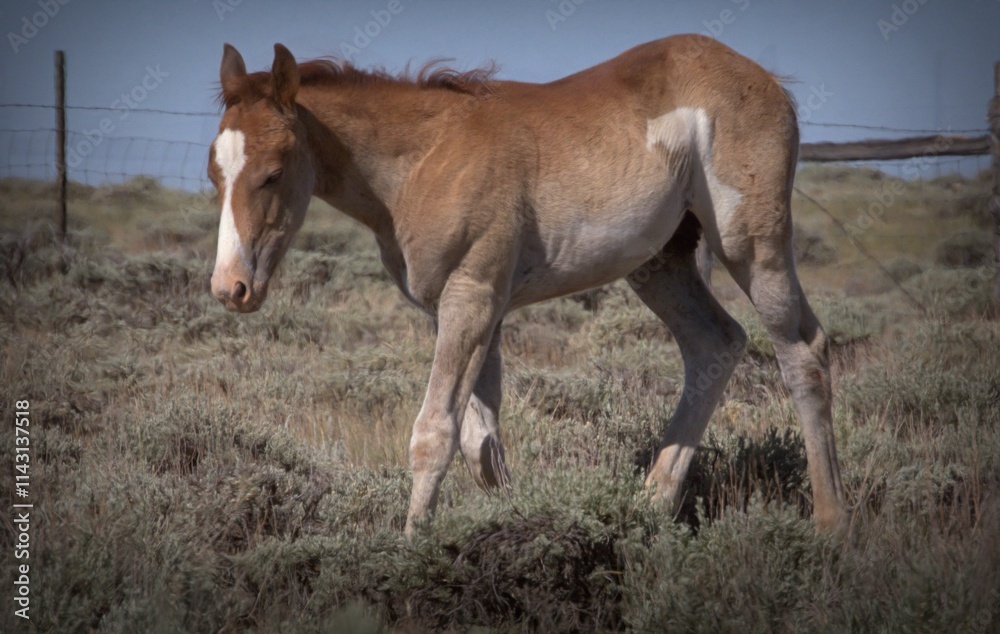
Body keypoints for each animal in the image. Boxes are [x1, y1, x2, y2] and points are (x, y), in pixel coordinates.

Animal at [208, 34, 849, 535]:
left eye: (273, 172)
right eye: (215, 171)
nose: (230, 287)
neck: (425, 160)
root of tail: (765, 81)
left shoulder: (472, 298)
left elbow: (433, 434)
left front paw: (410, 553)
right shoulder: (466, 311)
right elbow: (481, 442)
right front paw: (520, 523)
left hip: (752, 248)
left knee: (801, 351)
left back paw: (830, 522)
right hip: (660, 264)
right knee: (715, 344)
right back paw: (648, 507)